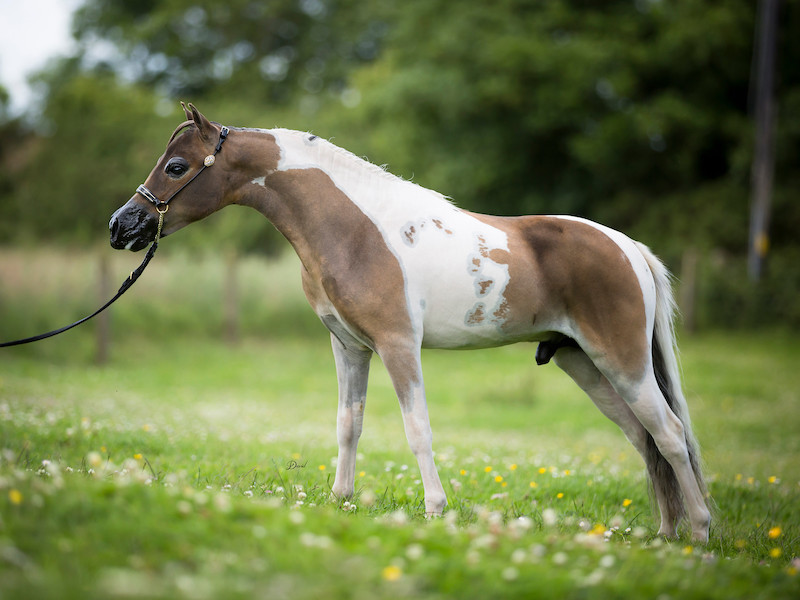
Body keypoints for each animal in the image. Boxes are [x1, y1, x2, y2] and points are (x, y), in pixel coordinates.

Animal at [109, 104, 711, 542]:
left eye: (177, 167)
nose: (123, 225)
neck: (354, 230)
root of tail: (628, 248)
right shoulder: (349, 347)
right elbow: (348, 424)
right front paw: (341, 501)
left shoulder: (399, 345)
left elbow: (417, 429)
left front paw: (435, 510)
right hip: (582, 363)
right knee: (645, 439)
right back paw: (665, 535)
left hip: (623, 362)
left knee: (671, 435)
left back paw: (699, 537)